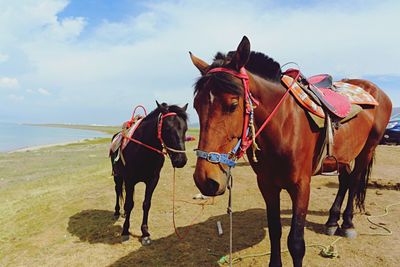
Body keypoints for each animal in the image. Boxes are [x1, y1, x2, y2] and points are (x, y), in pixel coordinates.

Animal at [110, 102, 188, 245]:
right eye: (167, 128)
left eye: (185, 129)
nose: (181, 160)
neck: (142, 150)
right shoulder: (129, 180)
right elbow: (129, 204)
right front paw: (125, 231)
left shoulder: (153, 180)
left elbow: (146, 204)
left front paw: (145, 232)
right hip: (118, 176)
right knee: (118, 190)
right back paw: (117, 212)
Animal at [189, 36, 392, 267]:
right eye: (196, 105)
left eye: (232, 105)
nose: (205, 180)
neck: (283, 124)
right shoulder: (267, 185)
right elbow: (275, 231)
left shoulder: (301, 186)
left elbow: (295, 242)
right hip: (344, 156)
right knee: (345, 182)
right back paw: (332, 221)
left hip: (366, 150)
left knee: (355, 181)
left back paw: (348, 224)